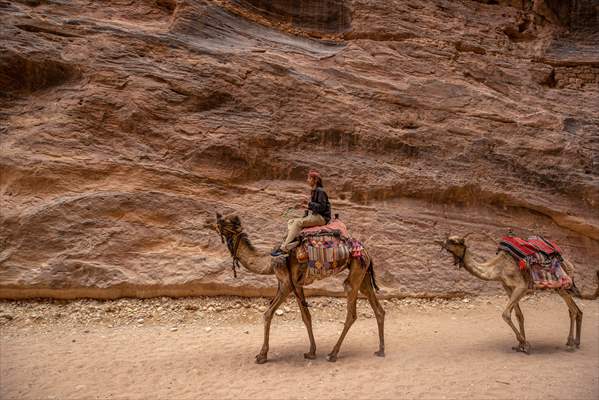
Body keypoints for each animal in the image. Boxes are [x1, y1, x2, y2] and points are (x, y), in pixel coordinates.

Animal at [214, 214, 384, 364]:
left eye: (226, 221)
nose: (215, 219)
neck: (269, 261)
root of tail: (365, 250)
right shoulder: (296, 284)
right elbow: (306, 316)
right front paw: (311, 352)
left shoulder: (286, 283)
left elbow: (267, 314)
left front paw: (262, 355)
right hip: (362, 272)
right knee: (377, 307)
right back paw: (380, 350)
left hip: (355, 272)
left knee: (352, 311)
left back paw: (333, 354)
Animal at [438, 234, 584, 354]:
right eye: (448, 238)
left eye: (454, 241)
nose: (441, 242)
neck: (498, 269)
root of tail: (570, 265)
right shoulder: (508, 287)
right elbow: (519, 315)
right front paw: (521, 346)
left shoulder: (521, 287)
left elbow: (506, 314)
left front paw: (525, 344)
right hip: (560, 288)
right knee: (576, 310)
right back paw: (575, 342)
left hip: (562, 285)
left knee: (573, 310)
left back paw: (571, 344)